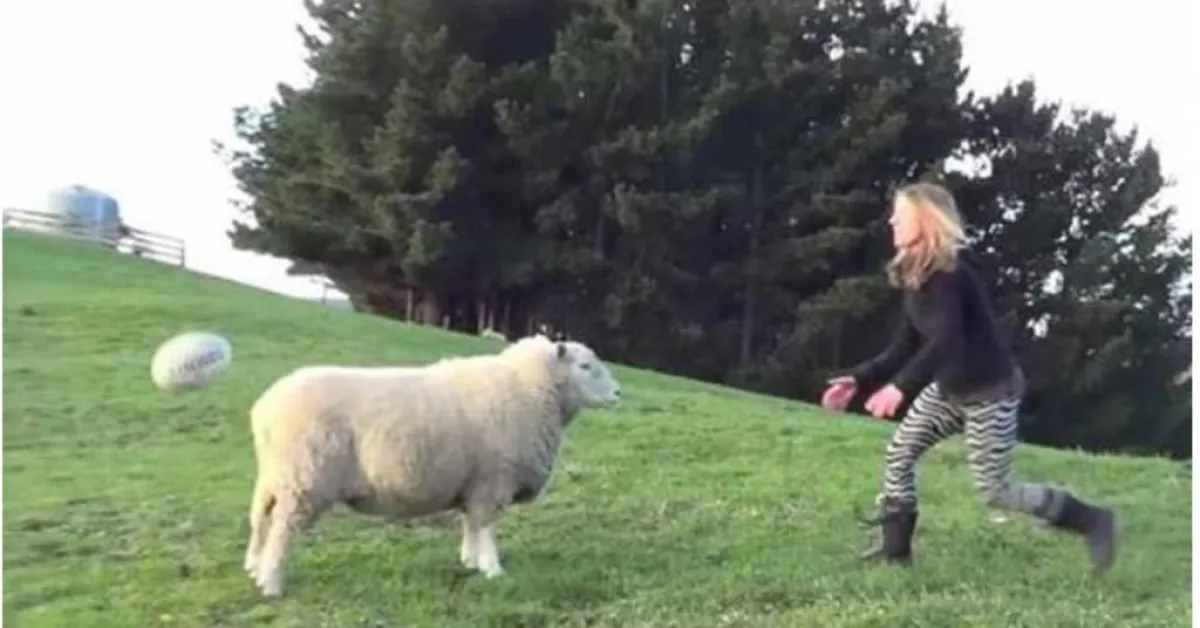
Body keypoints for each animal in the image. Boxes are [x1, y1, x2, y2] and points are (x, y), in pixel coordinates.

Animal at [240, 334, 623, 598]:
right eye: (585, 367)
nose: (619, 394)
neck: (531, 388)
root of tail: (265, 407)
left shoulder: (475, 485)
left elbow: (471, 524)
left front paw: (470, 561)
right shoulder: (494, 481)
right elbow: (486, 527)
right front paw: (492, 569)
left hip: (275, 477)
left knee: (261, 518)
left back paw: (253, 568)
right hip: (305, 478)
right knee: (282, 530)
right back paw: (272, 583)